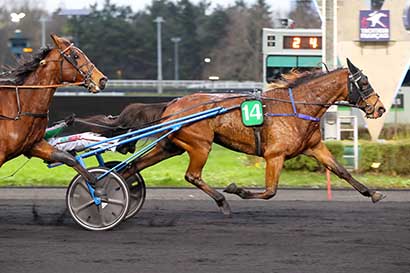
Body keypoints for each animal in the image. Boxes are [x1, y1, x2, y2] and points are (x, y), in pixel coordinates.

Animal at [0, 34, 107, 190]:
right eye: (76, 55)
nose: (102, 79)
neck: (20, 108)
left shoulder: (34, 145)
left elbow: (68, 158)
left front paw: (95, 183)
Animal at [73, 59, 384, 215]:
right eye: (364, 82)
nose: (379, 107)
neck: (296, 107)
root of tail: (172, 104)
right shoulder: (275, 155)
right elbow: (270, 191)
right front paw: (238, 189)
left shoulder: (315, 147)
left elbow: (342, 171)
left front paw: (373, 193)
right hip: (200, 144)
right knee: (192, 176)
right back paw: (222, 201)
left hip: (171, 145)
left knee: (131, 168)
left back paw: (109, 192)